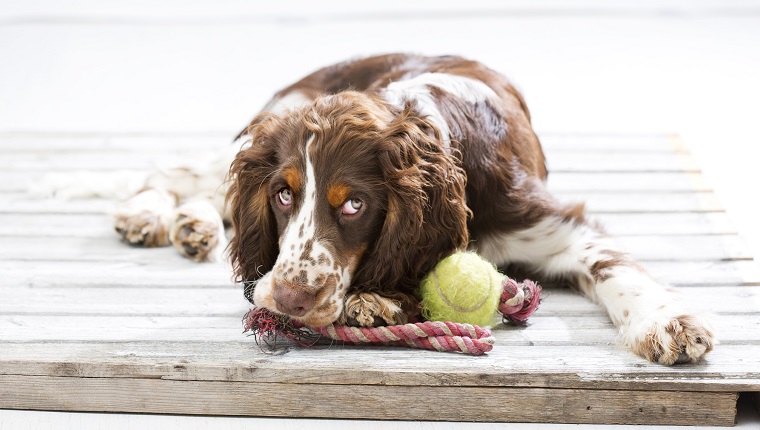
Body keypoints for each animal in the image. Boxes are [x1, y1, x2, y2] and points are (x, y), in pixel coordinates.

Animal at [111, 52, 712, 364]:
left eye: (355, 204)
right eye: (283, 195)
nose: (289, 300)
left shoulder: (555, 226)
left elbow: (617, 270)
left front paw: (668, 323)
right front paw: (380, 300)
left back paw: (191, 225)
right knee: (180, 174)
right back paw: (154, 215)